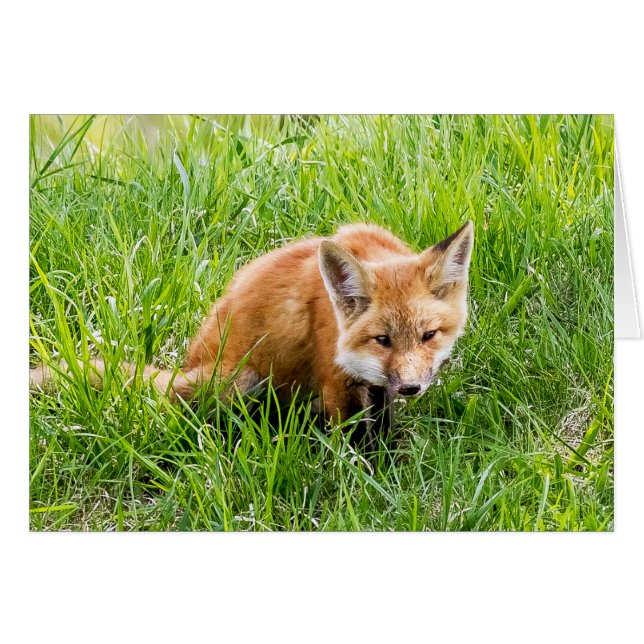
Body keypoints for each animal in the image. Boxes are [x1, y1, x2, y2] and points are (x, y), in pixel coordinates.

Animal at [30, 221, 473, 441]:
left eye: (429, 335)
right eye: (382, 340)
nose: (412, 388)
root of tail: (187, 364)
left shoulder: (378, 386)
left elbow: (384, 429)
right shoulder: (337, 381)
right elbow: (354, 445)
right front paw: (364, 482)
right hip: (241, 379)